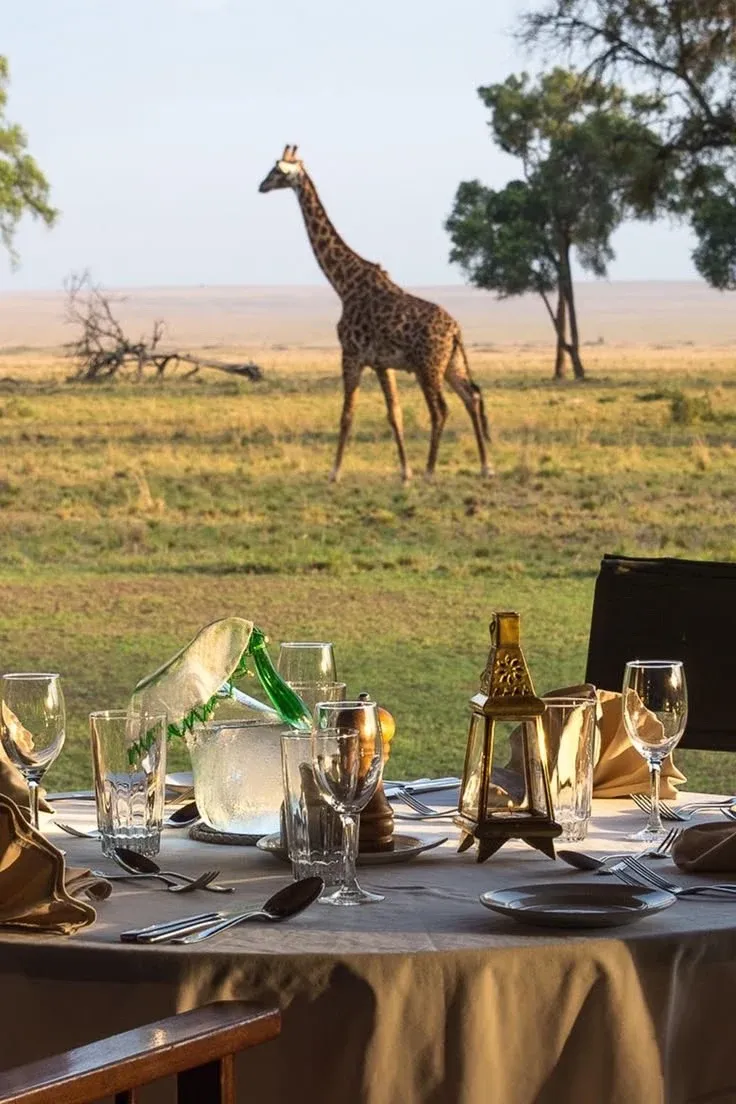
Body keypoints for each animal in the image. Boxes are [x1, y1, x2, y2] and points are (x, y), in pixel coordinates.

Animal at [258, 145, 493, 482]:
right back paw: (486, 466)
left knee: (441, 409)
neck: (343, 284)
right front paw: (405, 472)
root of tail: (455, 330)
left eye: (277, 170)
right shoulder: (383, 363)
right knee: (471, 397)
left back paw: (431, 471)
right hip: (452, 363)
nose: (261, 185)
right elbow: (394, 414)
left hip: (427, 366)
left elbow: (346, 415)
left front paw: (335, 472)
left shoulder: (351, 354)